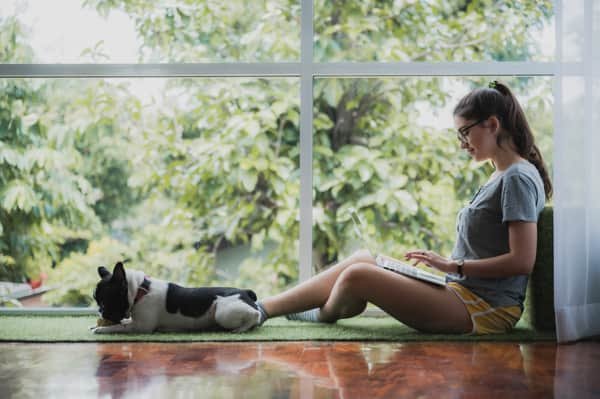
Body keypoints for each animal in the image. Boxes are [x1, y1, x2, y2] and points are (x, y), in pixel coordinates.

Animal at [92, 262, 262, 334]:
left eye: (104, 302)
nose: (99, 311)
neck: (140, 290)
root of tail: (245, 292)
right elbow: (125, 322)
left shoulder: (141, 327)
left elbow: (119, 327)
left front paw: (101, 328)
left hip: (222, 313)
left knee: (255, 314)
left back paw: (241, 329)